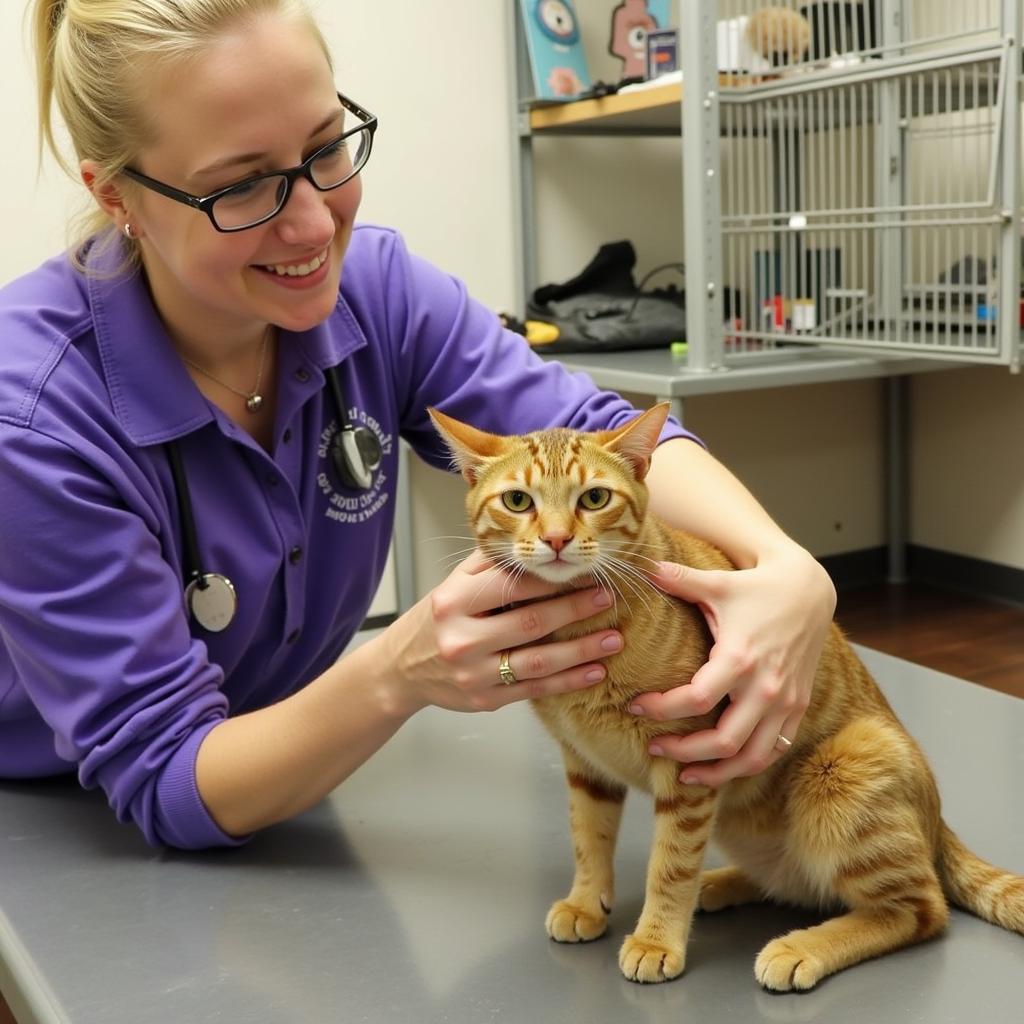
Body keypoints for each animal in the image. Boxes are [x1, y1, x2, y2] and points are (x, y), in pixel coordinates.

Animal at [428, 403, 1024, 987]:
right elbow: (588, 836)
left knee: (920, 910)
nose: (555, 540)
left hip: (847, 768)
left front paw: (656, 938)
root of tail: (938, 823)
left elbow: (671, 862)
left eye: (594, 498)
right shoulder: (583, 761)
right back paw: (723, 885)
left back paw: (801, 948)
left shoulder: (688, 764)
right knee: (800, 884)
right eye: (518, 500)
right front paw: (586, 901)